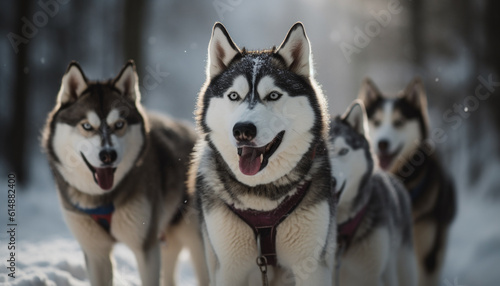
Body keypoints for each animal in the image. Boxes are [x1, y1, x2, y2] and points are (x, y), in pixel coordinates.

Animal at [41, 61, 207, 286]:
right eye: (87, 126)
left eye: (119, 124)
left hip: (197, 243)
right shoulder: (96, 253)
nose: (108, 155)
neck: (103, 199)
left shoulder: (146, 249)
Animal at [191, 22, 336, 286]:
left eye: (273, 95)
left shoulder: (312, 266)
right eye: (234, 95)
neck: (262, 200)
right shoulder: (229, 268)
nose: (243, 130)